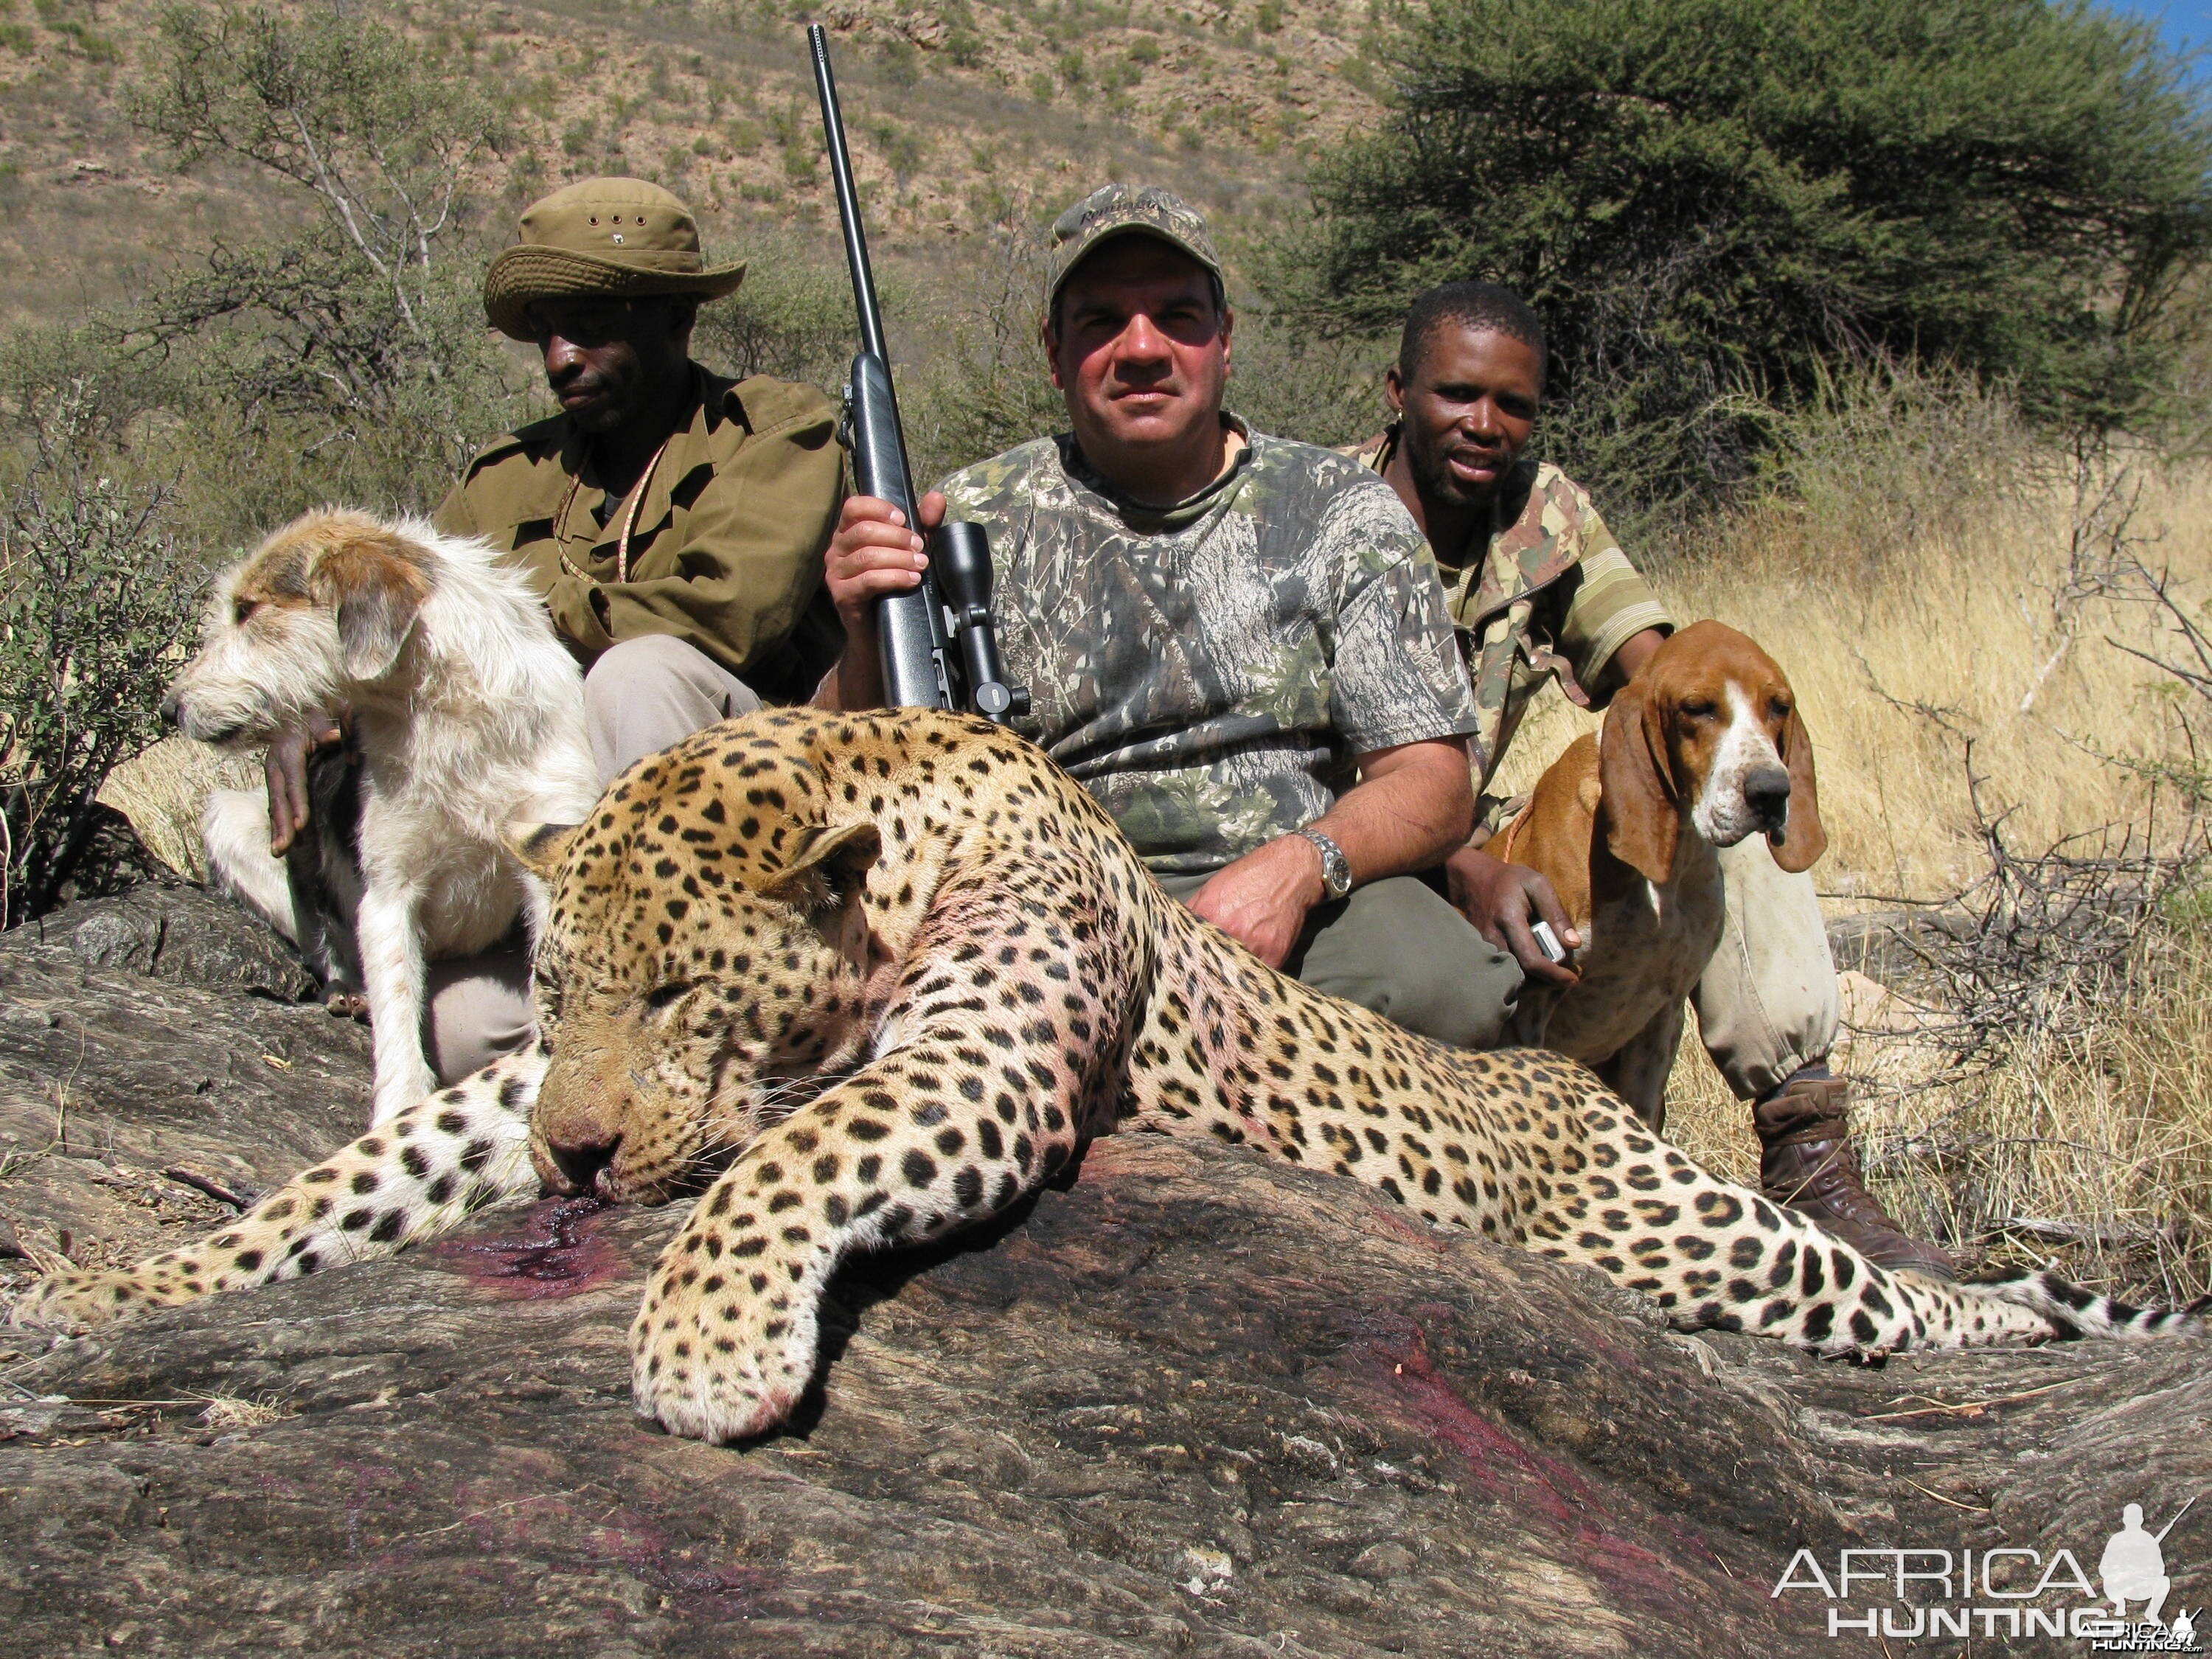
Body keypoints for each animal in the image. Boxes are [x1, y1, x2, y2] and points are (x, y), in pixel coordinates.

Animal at [13, 708, 2194, 1451]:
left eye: (685, 982)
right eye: (553, 984)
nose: (578, 1158)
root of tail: (1571, 1096)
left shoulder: (977, 1055)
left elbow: (787, 1162)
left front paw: (706, 1342)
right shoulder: (508, 1090)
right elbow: (346, 1176)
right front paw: (104, 1286)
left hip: (1674, 1230)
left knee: (1873, 1292)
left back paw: (2034, 1316)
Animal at [168, 511, 597, 1133]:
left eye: (246, 610)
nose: (168, 708)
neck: (444, 715)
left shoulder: (548, 858)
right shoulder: (389, 892)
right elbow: (396, 1008)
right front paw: (399, 1109)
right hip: (233, 822)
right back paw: (346, 989)